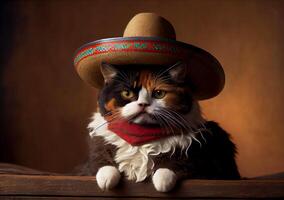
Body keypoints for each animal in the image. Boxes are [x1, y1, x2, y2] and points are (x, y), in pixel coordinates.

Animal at [77, 61, 240, 191]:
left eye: (159, 93)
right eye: (127, 93)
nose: (143, 104)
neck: (141, 134)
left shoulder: (203, 165)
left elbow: (172, 167)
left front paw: (162, 182)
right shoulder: (90, 163)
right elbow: (103, 164)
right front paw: (106, 180)